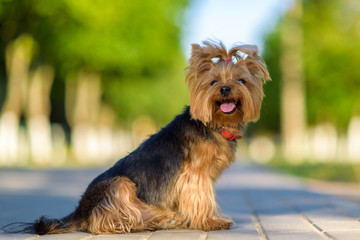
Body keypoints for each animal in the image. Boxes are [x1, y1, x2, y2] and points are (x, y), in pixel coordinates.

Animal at [4, 40, 270, 234]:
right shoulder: (196, 175)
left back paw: (164, 220)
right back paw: (139, 223)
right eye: (213, 82)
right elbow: (201, 197)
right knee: (102, 221)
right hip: (119, 185)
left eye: (241, 80)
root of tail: (79, 210)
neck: (215, 123)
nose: (225, 89)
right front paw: (210, 222)